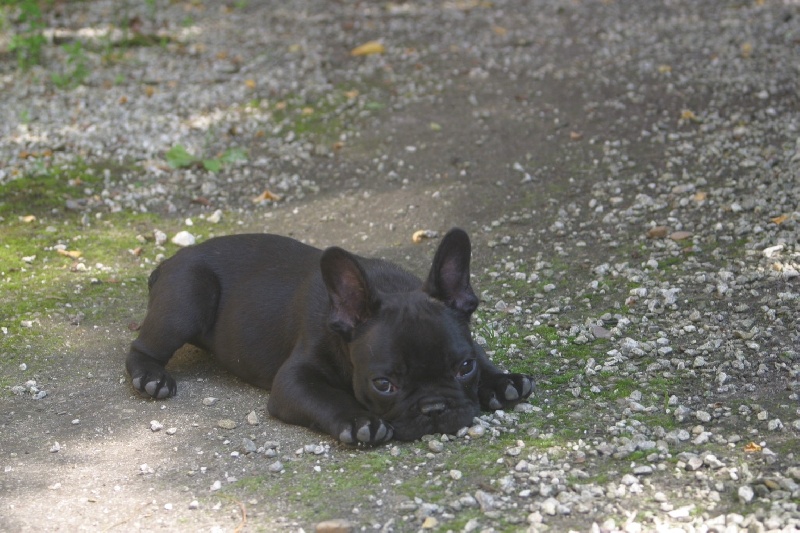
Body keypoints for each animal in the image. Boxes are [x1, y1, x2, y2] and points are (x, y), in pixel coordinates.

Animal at [128, 227, 536, 442]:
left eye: (464, 368)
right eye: (383, 384)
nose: (434, 408)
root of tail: (169, 262)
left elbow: (482, 351)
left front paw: (501, 381)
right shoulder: (294, 382)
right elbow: (327, 397)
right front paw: (360, 422)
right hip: (187, 299)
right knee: (141, 347)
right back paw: (151, 378)